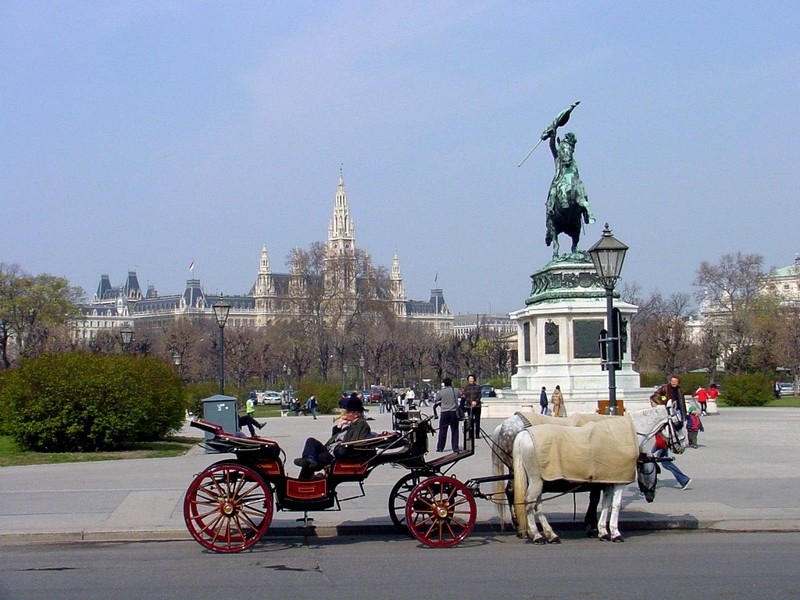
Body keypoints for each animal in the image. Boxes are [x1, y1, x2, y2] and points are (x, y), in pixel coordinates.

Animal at [494, 408, 680, 544]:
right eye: (678, 425)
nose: (681, 445)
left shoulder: (605, 478)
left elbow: (603, 502)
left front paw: (600, 529)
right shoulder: (611, 478)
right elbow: (611, 503)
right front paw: (609, 531)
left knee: (528, 500)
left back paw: (541, 532)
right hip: (531, 477)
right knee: (523, 499)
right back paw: (532, 532)